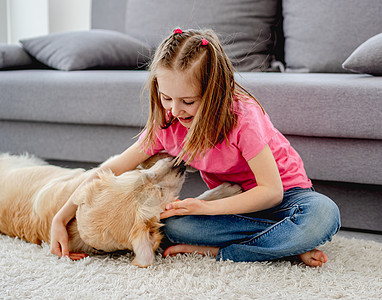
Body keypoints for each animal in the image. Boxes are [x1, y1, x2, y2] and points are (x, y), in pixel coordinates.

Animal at [0, 152, 240, 268]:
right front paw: (229, 189)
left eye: (146, 177)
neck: (75, 223)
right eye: (159, 191)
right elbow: (196, 200)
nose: (178, 164)